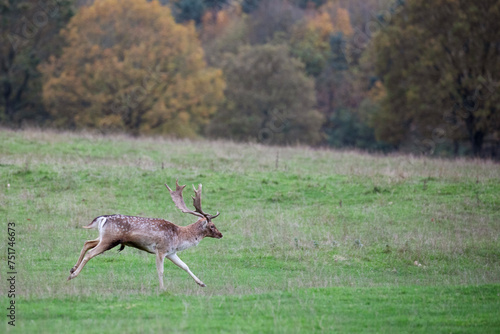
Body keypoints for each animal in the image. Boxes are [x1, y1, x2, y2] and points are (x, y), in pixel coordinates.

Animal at [67, 181, 224, 288]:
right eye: (212, 226)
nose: (221, 234)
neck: (179, 237)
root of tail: (103, 218)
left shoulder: (171, 252)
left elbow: (185, 266)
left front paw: (202, 283)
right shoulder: (161, 249)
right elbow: (160, 270)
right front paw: (162, 289)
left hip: (104, 237)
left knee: (87, 242)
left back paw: (72, 268)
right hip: (109, 239)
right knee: (90, 252)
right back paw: (72, 275)